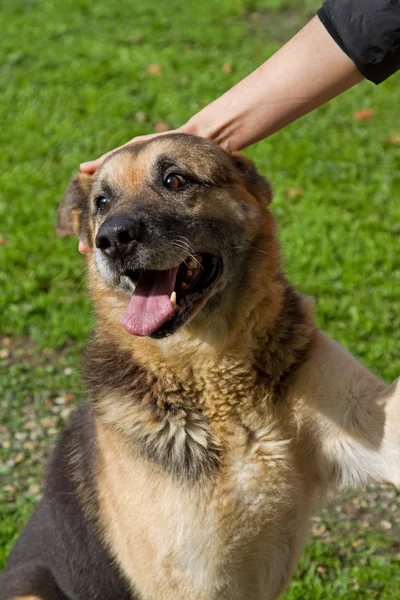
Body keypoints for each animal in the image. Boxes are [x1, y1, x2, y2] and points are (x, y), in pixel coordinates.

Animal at [1, 135, 398, 600]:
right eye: (102, 201)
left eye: (175, 180)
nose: (111, 238)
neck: (218, 382)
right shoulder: (192, 580)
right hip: (31, 587)